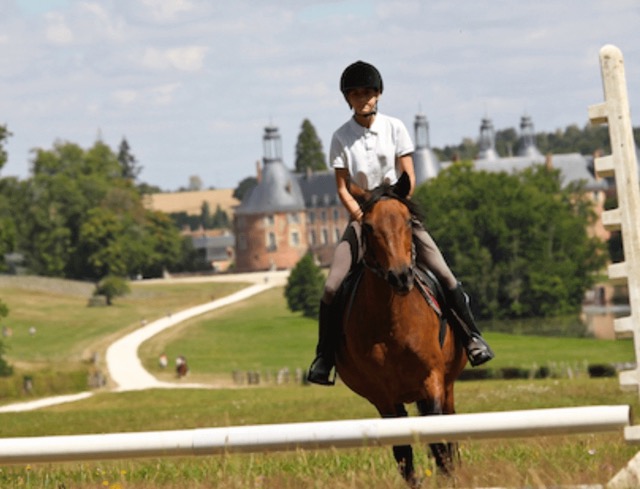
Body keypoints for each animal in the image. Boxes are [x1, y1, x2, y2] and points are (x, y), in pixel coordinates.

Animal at [338, 172, 468, 484]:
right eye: (368, 226)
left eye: (409, 221)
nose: (400, 276)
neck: (392, 324)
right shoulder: (384, 396)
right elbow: (403, 453)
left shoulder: (433, 379)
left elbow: (439, 442)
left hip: (446, 386)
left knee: (450, 435)